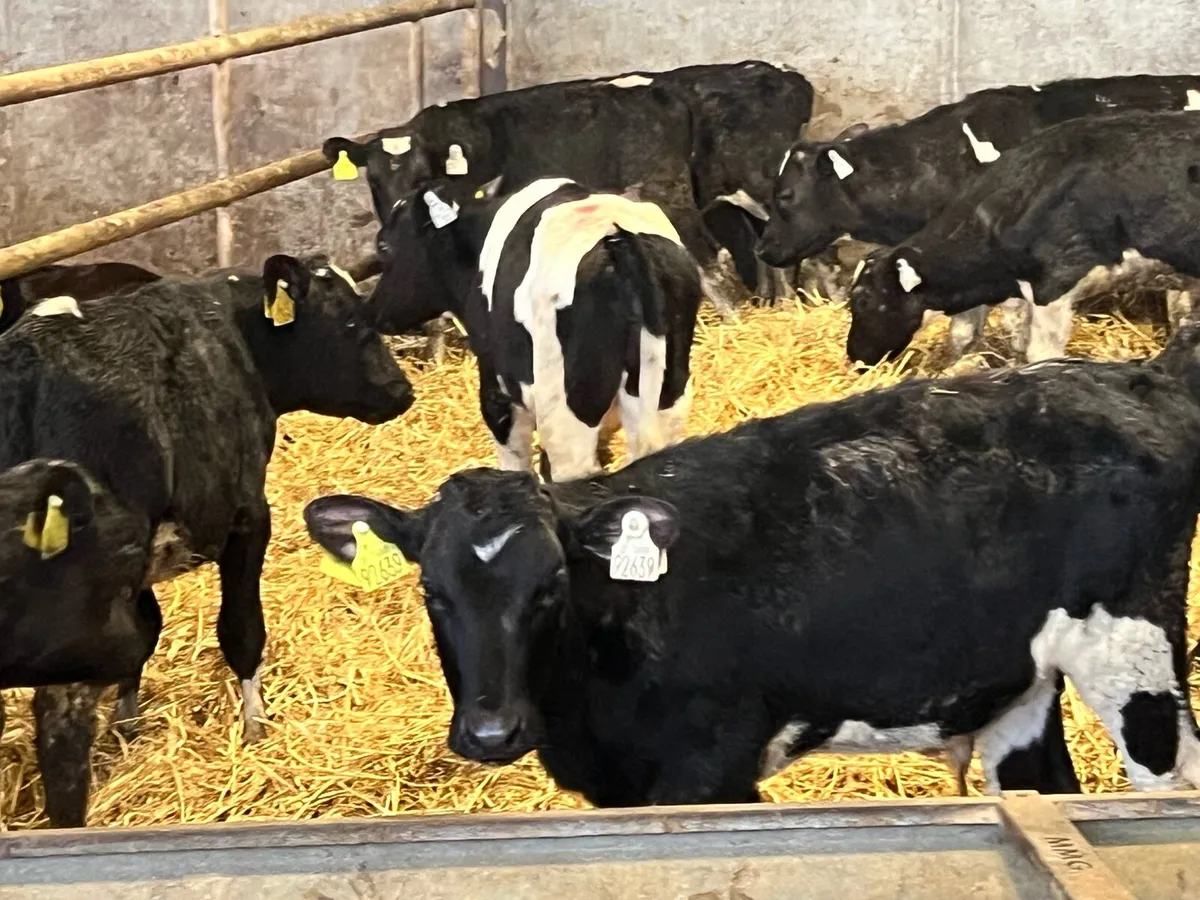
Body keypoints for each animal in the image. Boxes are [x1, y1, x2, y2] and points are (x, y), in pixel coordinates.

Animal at [303, 324, 1200, 808]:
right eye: (432, 591)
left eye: (550, 586)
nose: (492, 733)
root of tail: (1136, 376)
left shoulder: (711, 773)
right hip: (1020, 683)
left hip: (1136, 657)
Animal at [325, 62, 813, 317]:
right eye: (373, 179)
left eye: (422, 177)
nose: (385, 244)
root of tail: (782, 74)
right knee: (761, 246)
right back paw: (777, 304)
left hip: (688, 190)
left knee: (719, 256)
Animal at [371, 176, 701, 482]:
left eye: (384, 246)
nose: (374, 309)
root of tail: (617, 237)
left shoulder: (497, 391)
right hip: (668, 401)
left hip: (565, 419)